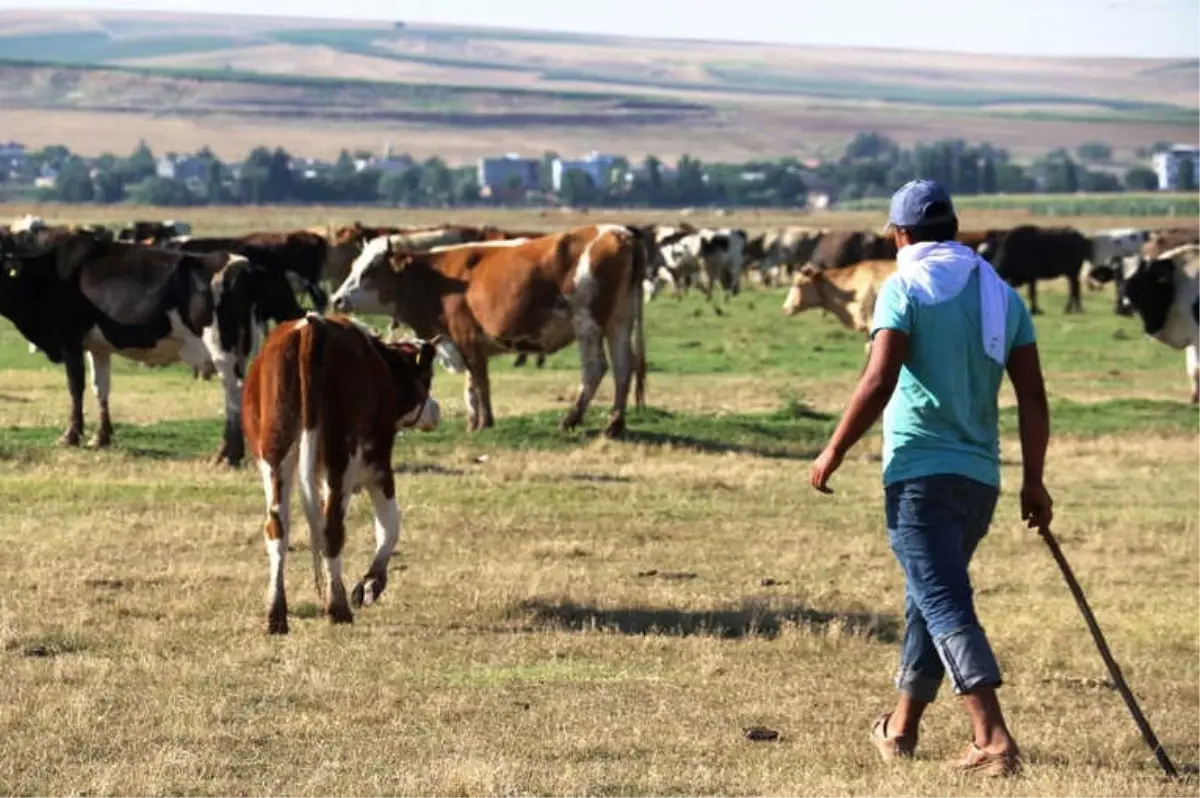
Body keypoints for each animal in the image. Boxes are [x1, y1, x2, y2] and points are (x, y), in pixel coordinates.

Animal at [0, 231, 304, 460]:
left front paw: (71, 436)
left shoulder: (70, 340)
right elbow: (101, 387)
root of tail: (245, 265)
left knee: (233, 389)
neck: (50, 275)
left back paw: (227, 453)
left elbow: (76, 387)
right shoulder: (98, 345)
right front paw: (101, 437)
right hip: (244, 345)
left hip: (221, 346)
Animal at [241, 314, 444, 633]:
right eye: (427, 378)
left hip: (275, 455)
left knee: (277, 528)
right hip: (339, 457)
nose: (435, 410)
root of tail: (312, 326)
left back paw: (276, 615)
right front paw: (371, 584)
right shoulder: (378, 464)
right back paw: (338, 608)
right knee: (331, 527)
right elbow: (390, 526)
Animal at [328, 222, 648, 436]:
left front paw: (485, 422)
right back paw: (614, 424)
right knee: (623, 367)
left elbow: (480, 380)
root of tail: (620, 234)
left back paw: (571, 419)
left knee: (595, 369)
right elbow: (471, 384)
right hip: (620, 321)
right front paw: (473, 422)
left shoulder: (465, 336)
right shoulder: (462, 341)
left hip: (588, 324)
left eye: (369, 271)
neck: (438, 277)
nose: (337, 299)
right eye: (354, 266)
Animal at [1113, 244, 1200, 405]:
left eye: (1138, 279)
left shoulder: (1198, 336)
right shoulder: (1191, 335)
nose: (1123, 307)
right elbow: (1192, 369)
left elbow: (1197, 369)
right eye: (1116, 277)